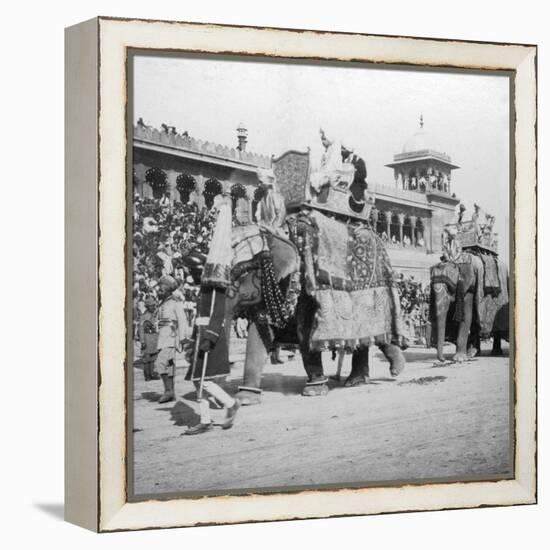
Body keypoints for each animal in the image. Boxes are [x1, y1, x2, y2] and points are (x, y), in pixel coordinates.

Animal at [225, 209, 410, 408]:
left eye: (242, 271)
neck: (278, 232)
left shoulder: (306, 282)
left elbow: (305, 332)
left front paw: (314, 391)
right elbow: (259, 332)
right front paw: (245, 398)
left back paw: (393, 369)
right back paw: (359, 380)